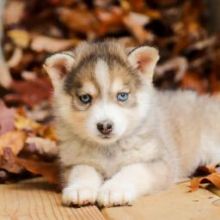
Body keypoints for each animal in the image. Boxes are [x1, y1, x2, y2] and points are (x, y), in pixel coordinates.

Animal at [43, 40, 220, 207]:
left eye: (122, 95)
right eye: (85, 98)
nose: (105, 126)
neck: (109, 149)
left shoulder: (160, 162)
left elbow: (133, 170)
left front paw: (114, 189)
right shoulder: (73, 162)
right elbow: (82, 170)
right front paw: (80, 188)